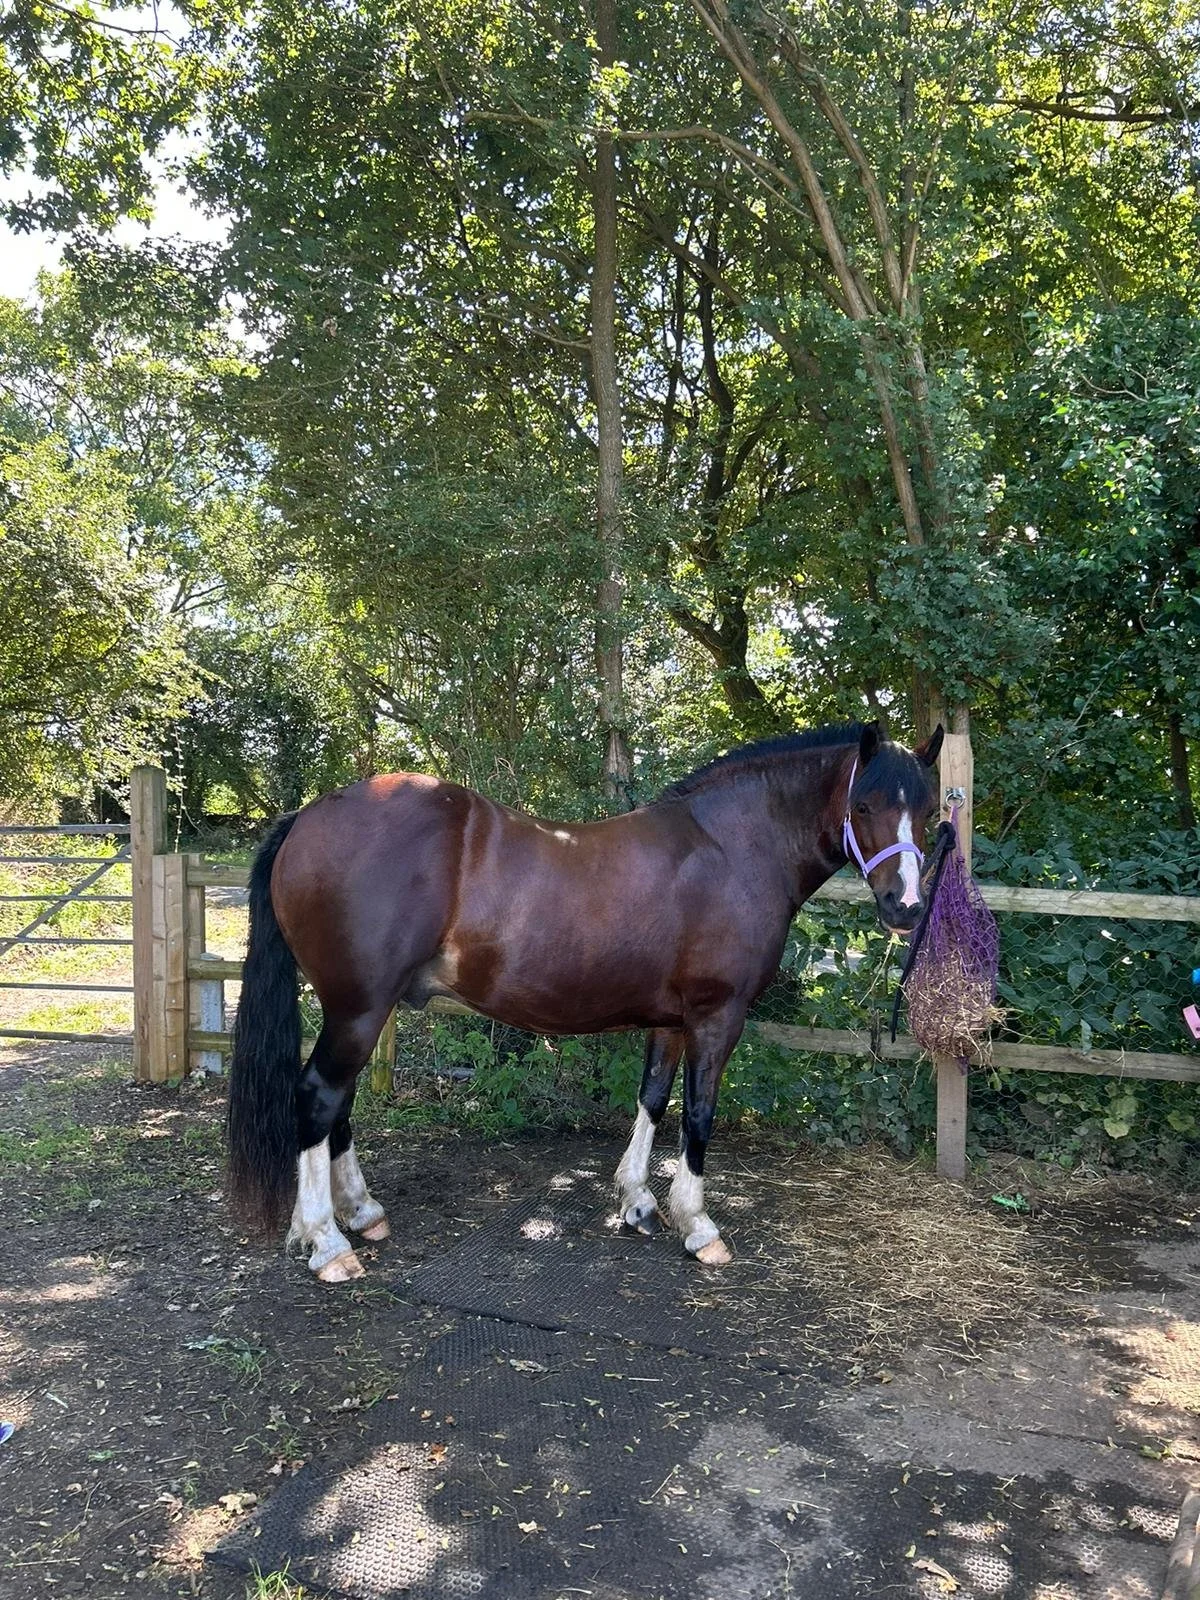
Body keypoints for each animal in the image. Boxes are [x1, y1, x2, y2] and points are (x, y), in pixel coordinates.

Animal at [226, 719, 943, 1282]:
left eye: (933, 810)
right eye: (865, 804)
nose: (906, 906)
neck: (730, 847)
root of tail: (310, 814)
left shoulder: (671, 1021)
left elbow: (653, 1101)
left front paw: (637, 1202)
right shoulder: (717, 1017)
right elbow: (699, 1115)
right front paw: (698, 1224)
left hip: (359, 1011)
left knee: (338, 1103)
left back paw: (363, 1213)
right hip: (360, 1009)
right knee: (319, 1096)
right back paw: (327, 1243)